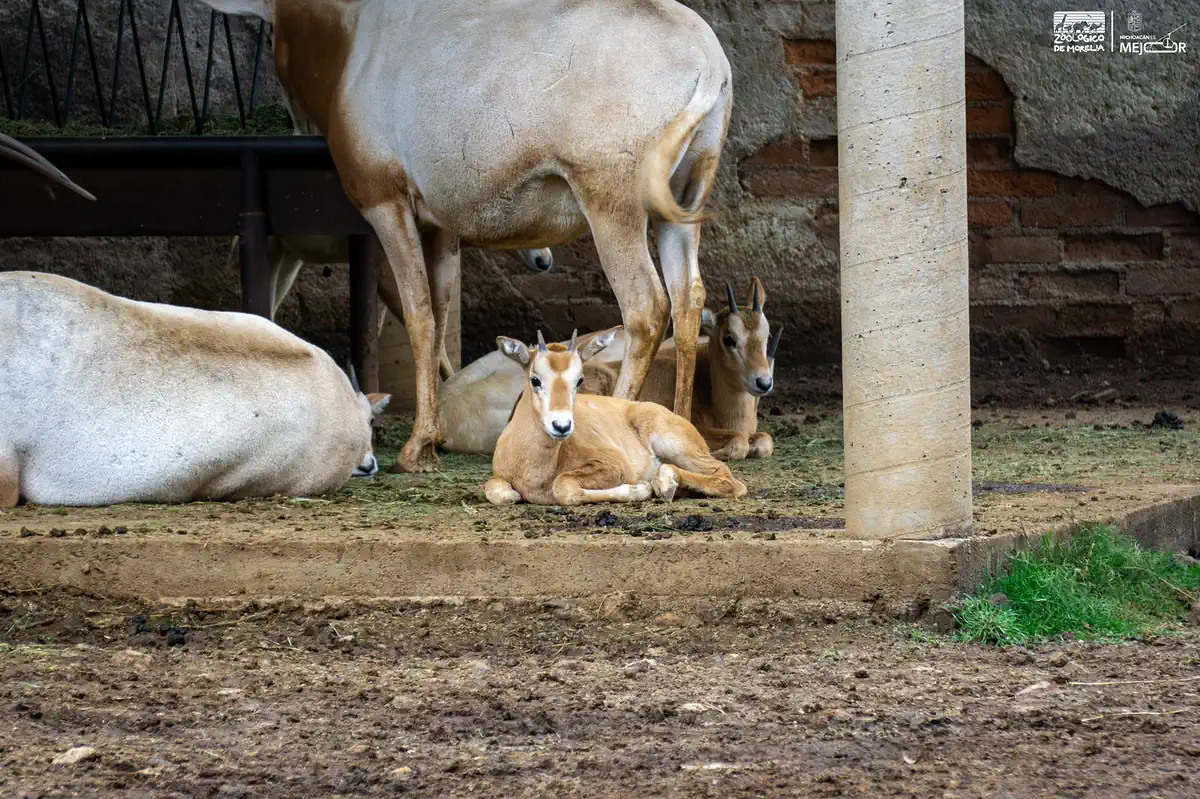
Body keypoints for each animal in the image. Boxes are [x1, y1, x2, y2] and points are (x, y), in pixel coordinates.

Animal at [199, 0, 733, 474]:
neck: (353, 32)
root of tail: (708, 62)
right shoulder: (438, 226)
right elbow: (438, 317)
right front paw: (433, 435)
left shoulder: (385, 201)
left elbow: (417, 314)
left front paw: (416, 448)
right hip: (682, 202)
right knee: (688, 298)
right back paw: (682, 424)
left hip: (610, 203)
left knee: (646, 304)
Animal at [485, 332, 747, 506]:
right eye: (535, 379)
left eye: (579, 379)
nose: (561, 426)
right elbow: (498, 492)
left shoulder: (614, 464)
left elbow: (563, 487)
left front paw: (638, 489)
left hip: (676, 445)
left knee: (729, 478)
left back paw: (665, 483)